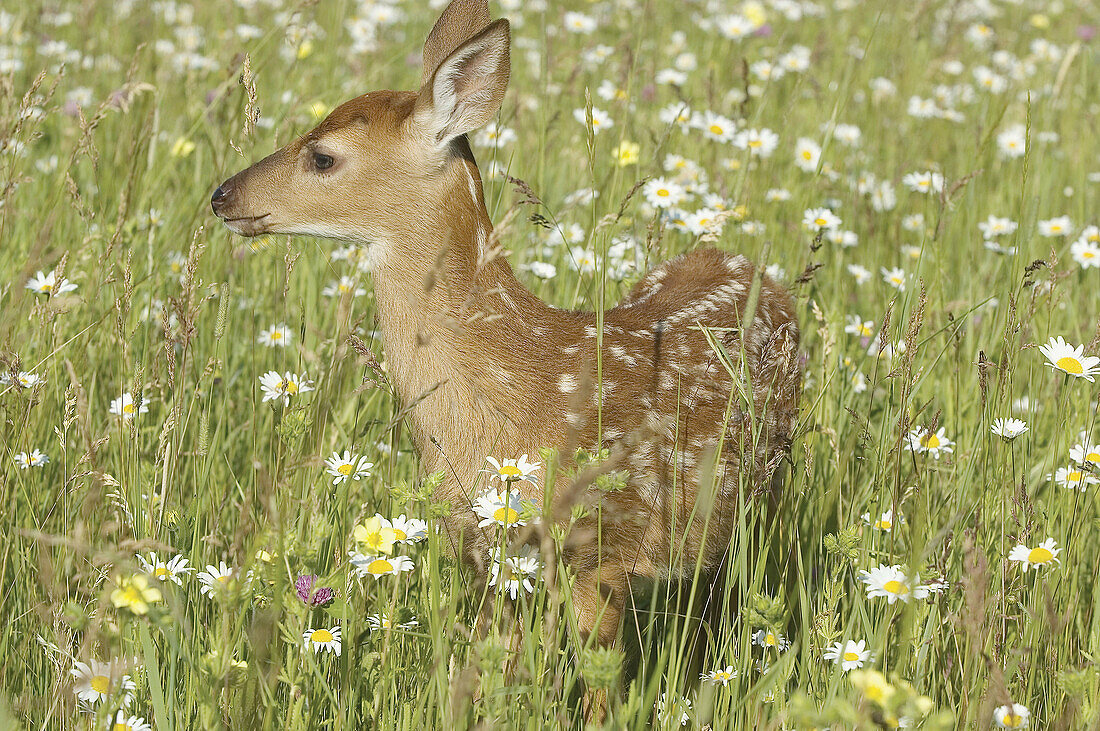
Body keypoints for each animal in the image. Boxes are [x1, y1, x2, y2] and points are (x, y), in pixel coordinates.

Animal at [212, 0, 800, 716]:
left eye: (323, 157)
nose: (222, 196)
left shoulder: (605, 550)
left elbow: (597, 681)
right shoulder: (491, 554)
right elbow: (497, 667)